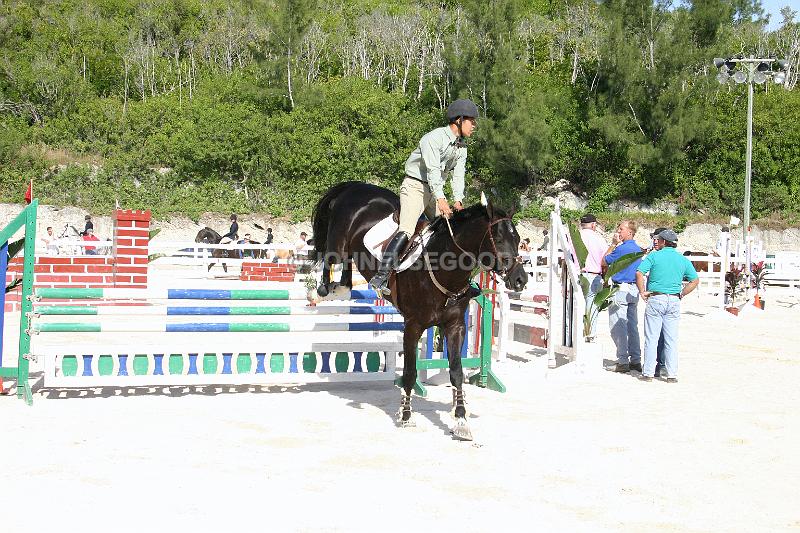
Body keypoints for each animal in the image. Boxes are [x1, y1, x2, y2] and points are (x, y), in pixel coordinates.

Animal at [314, 181, 532, 438]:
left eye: (517, 238)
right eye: (497, 239)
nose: (520, 280)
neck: (444, 269)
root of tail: (356, 187)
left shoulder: (455, 326)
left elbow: (456, 371)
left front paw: (461, 420)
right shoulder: (413, 326)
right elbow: (410, 373)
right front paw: (407, 416)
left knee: (347, 268)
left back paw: (340, 288)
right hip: (338, 242)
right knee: (332, 258)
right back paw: (324, 289)